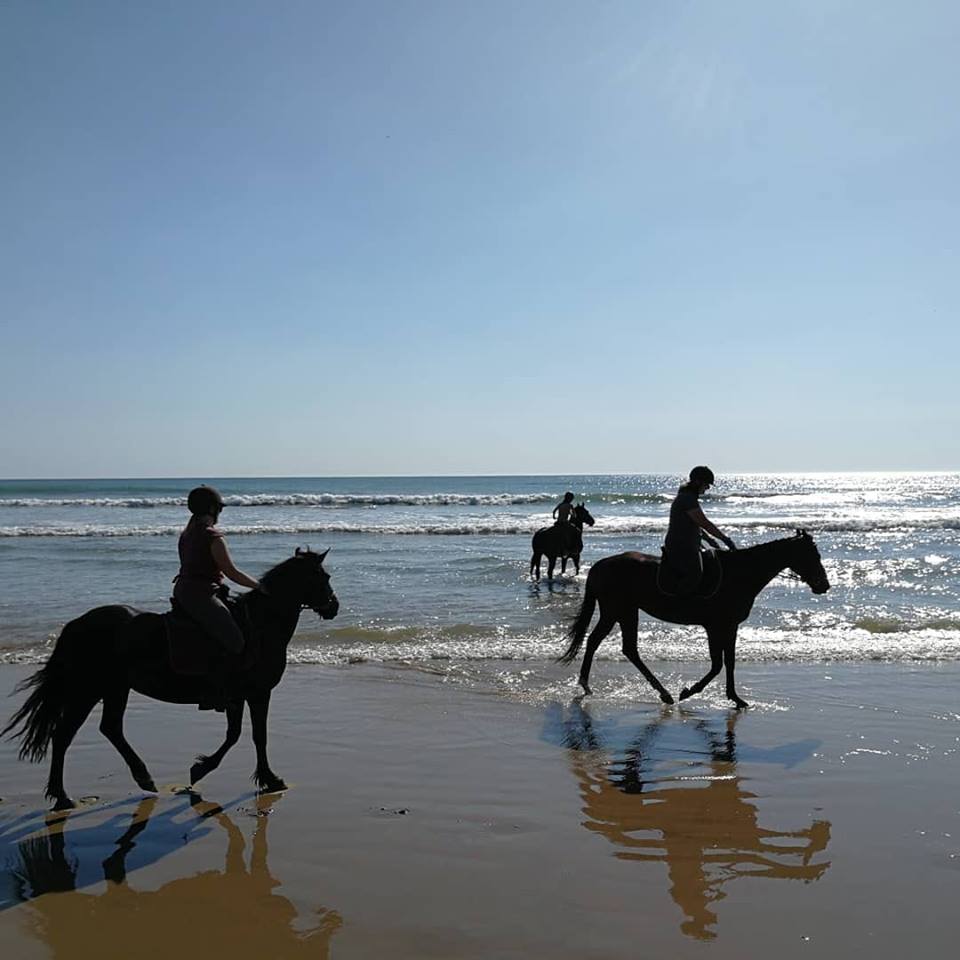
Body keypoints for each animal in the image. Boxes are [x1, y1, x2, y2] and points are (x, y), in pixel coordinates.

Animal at [2, 548, 339, 810]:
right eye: (324, 578)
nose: (334, 606)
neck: (261, 624)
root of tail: (78, 624)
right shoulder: (254, 693)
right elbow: (253, 736)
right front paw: (260, 778)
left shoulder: (240, 695)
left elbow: (237, 735)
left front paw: (205, 769)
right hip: (89, 689)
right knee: (63, 735)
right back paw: (62, 797)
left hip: (115, 687)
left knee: (110, 728)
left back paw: (143, 778)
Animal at [557, 530, 829, 707]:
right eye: (812, 555)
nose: (824, 585)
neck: (740, 574)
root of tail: (599, 566)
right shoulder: (716, 626)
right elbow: (718, 664)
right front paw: (690, 691)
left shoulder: (729, 627)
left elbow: (729, 662)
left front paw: (735, 698)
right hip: (618, 610)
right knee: (608, 644)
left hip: (624, 611)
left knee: (615, 646)